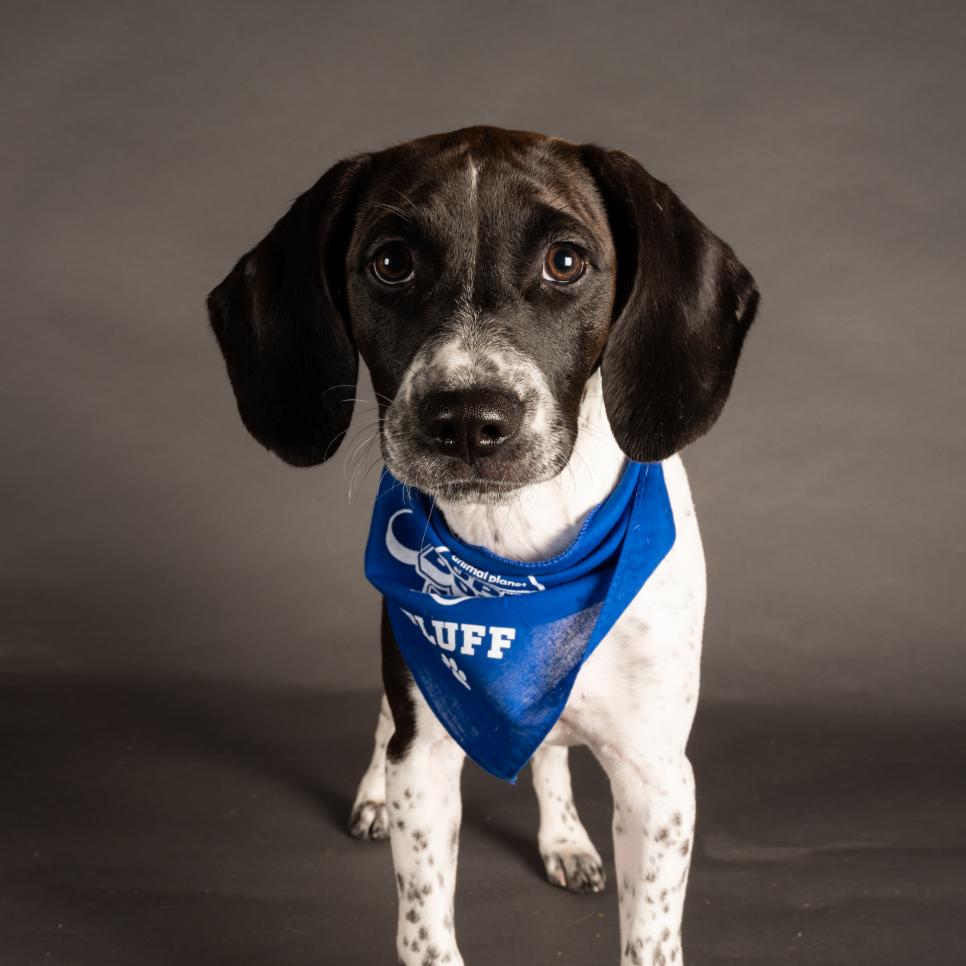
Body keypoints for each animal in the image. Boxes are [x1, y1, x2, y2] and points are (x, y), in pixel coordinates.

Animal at [208, 126, 760, 966]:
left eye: (566, 261)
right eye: (390, 262)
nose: (467, 418)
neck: (518, 553)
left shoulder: (659, 776)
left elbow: (650, 935)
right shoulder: (426, 758)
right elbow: (425, 929)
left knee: (550, 752)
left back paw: (564, 837)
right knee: (388, 719)